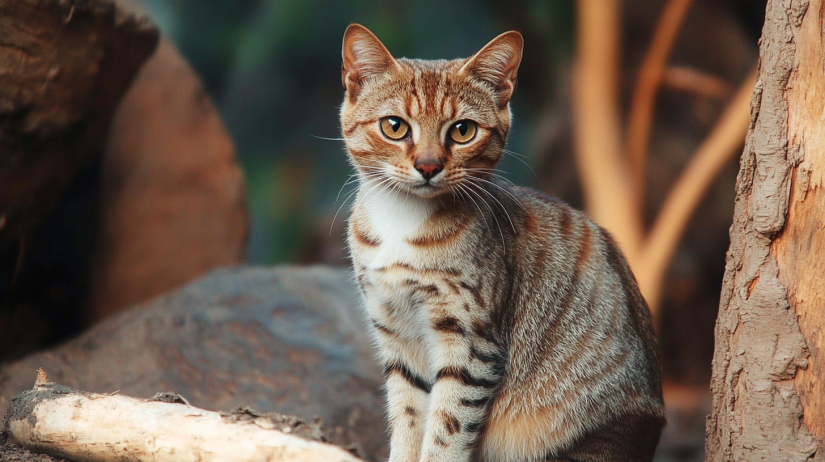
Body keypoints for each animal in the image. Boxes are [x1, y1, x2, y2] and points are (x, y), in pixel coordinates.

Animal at [338, 23, 668, 460]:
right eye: (395, 126)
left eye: (462, 130)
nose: (428, 166)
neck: (402, 221)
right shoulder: (396, 335)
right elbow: (408, 419)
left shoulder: (472, 343)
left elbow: (446, 429)